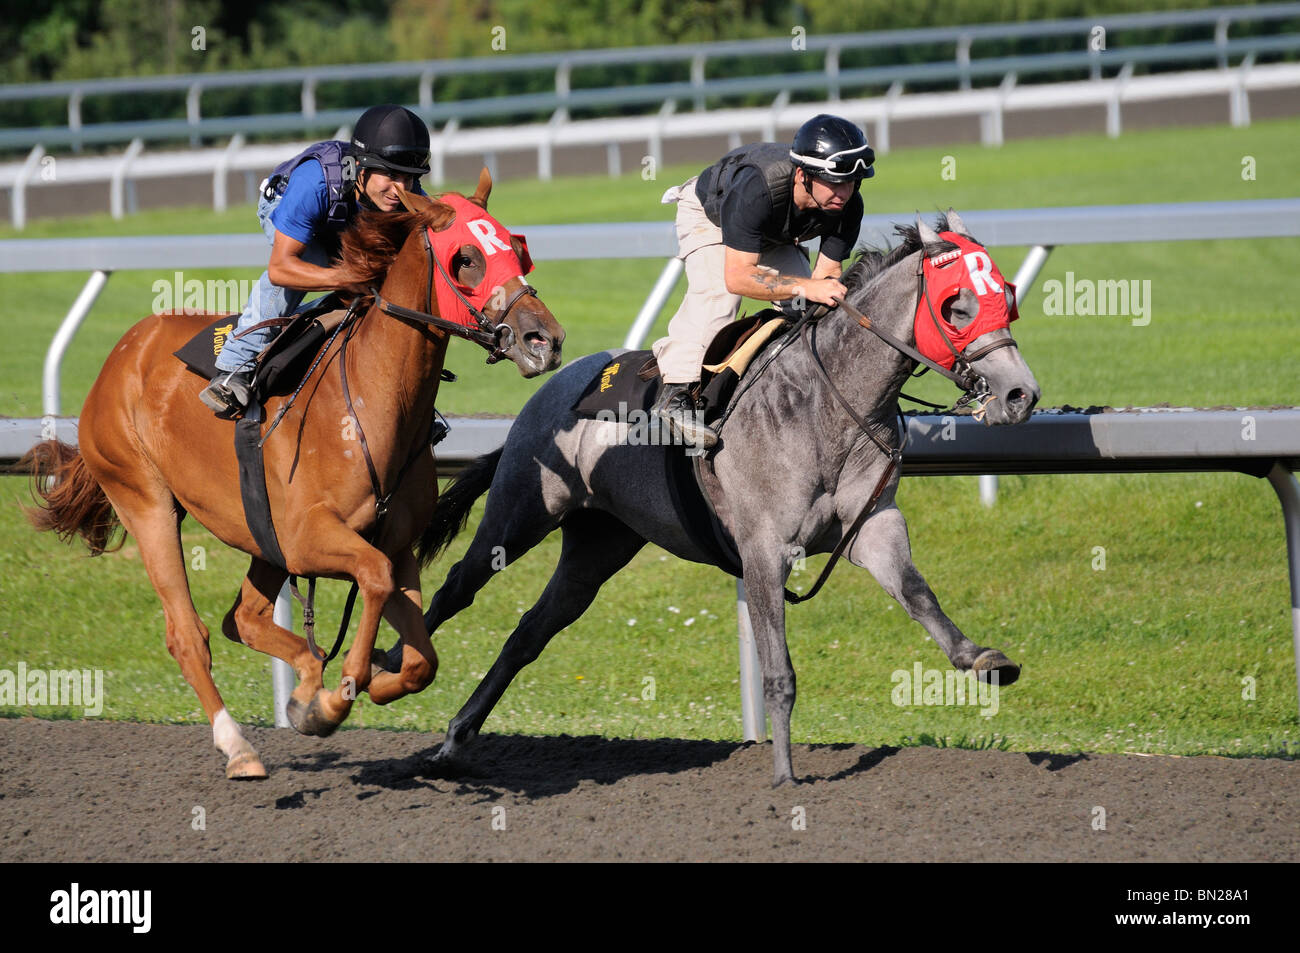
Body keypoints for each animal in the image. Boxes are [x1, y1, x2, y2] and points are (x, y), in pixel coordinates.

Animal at [23, 170, 564, 780]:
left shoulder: (393, 543)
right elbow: (373, 578)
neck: (371, 401)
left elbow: (420, 656)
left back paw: (302, 682)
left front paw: (356, 687)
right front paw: (335, 698)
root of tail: (122, 351)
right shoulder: (310, 538)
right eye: (466, 258)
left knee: (244, 618)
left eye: (518, 247)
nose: (544, 340)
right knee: (189, 633)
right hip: (143, 497)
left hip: (261, 535)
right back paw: (239, 746)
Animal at [408, 210, 1040, 786]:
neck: (825, 404)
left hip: (598, 545)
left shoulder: (874, 526)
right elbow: (778, 671)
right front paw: (784, 775)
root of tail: (558, 382)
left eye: (1007, 298)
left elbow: (918, 593)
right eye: (957, 305)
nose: (1022, 394)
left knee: (530, 632)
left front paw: (983, 659)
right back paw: (398, 670)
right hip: (520, 513)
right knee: (454, 589)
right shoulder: (764, 550)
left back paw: (456, 739)